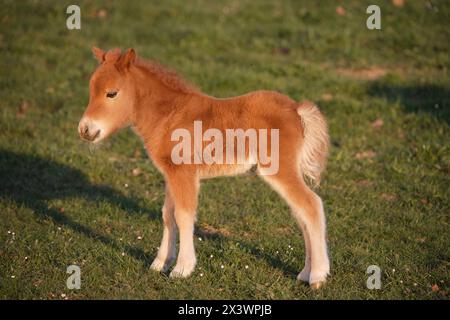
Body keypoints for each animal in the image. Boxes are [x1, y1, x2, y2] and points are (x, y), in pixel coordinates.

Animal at [77, 48, 330, 290]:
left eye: (112, 93)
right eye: (90, 90)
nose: (85, 130)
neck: (169, 115)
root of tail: (296, 109)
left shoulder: (184, 173)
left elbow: (183, 215)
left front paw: (182, 269)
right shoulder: (170, 174)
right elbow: (167, 214)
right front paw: (160, 263)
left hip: (279, 170)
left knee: (311, 205)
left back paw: (318, 277)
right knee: (300, 213)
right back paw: (305, 273)